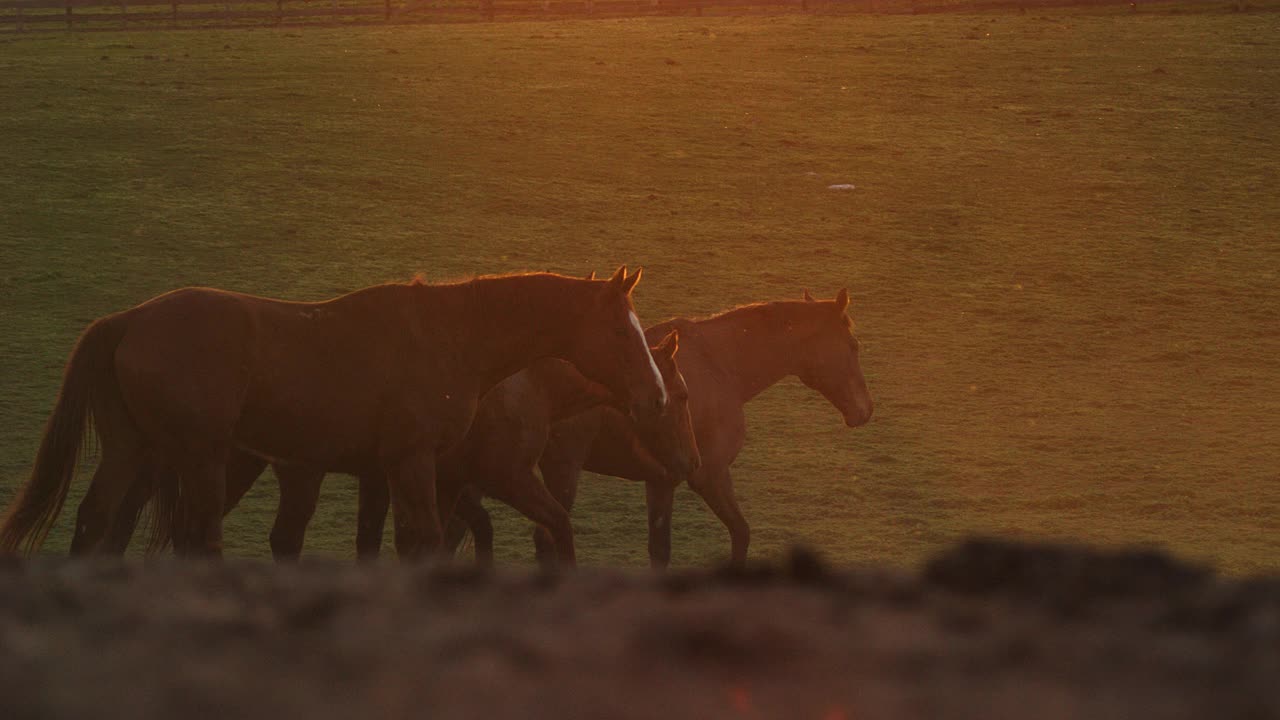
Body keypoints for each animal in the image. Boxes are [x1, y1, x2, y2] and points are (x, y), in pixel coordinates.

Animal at [2, 266, 670, 558]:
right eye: (620, 330)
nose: (655, 396)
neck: (451, 335)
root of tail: (131, 321)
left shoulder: (405, 472)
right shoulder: (413, 462)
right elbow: (427, 541)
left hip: (135, 449)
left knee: (95, 521)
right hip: (202, 456)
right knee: (199, 536)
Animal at [524, 286, 875, 566]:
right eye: (853, 345)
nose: (866, 410)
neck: (719, 365)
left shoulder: (662, 480)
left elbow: (660, 551)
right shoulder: (710, 475)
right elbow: (741, 533)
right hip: (563, 470)